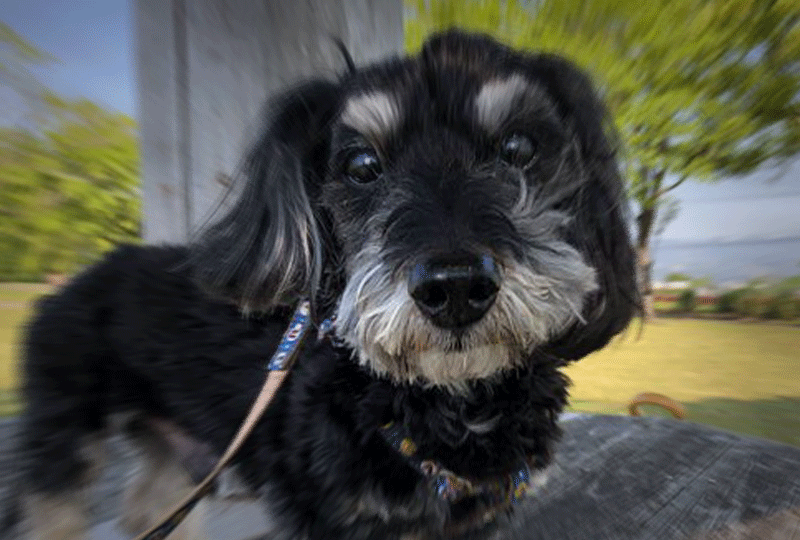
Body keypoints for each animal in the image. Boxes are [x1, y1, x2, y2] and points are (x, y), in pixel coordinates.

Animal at [12, 30, 638, 540]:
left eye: (520, 148)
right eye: (361, 165)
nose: (456, 288)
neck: (450, 403)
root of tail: (76, 279)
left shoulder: (472, 520)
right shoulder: (329, 513)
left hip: (171, 447)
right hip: (66, 425)